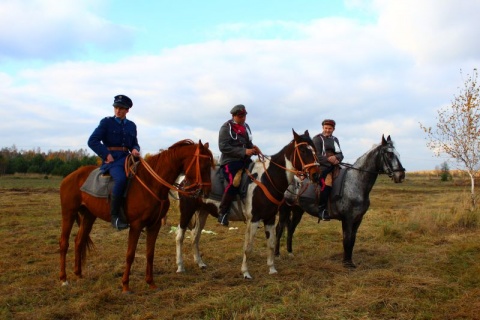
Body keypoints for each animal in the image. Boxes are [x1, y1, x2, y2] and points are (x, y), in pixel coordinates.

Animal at [57, 139, 212, 292]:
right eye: (204, 164)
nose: (206, 192)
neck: (152, 183)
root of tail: (70, 176)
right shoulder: (136, 226)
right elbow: (130, 254)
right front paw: (125, 285)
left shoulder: (154, 225)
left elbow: (150, 253)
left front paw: (151, 283)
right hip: (69, 213)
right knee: (64, 243)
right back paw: (64, 279)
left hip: (89, 216)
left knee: (79, 241)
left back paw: (78, 274)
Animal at [174, 129, 320, 278]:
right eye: (303, 150)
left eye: (314, 149)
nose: (316, 175)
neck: (267, 179)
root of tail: (184, 177)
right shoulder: (254, 219)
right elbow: (248, 247)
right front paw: (245, 272)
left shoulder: (270, 218)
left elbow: (271, 244)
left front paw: (272, 268)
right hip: (187, 210)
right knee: (180, 236)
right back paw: (180, 266)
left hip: (203, 211)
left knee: (195, 236)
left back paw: (200, 263)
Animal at [274, 134, 404, 268]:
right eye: (389, 154)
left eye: (398, 154)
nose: (401, 175)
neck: (355, 182)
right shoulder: (348, 219)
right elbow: (346, 239)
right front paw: (346, 262)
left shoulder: (358, 219)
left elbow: (352, 240)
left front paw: (349, 260)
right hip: (284, 209)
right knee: (279, 229)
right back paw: (277, 254)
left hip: (297, 210)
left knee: (291, 229)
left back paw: (290, 252)